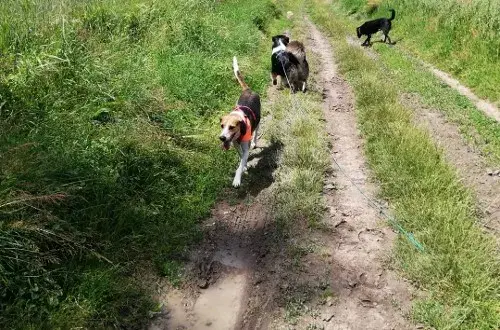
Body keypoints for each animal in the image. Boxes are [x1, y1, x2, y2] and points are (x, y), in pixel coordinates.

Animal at [221, 57, 264, 188]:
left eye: (232, 127)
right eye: (222, 126)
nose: (222, 138)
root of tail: (248, 89)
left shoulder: (245, 147)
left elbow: (240, 164)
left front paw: (237, 179)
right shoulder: (235, 143)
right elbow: (241, 156)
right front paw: (244, 166)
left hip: (258, 122)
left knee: (255, 133)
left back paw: (254, 142)